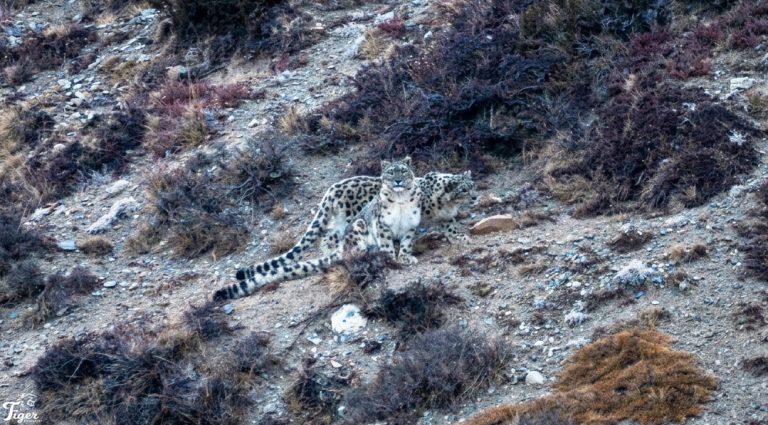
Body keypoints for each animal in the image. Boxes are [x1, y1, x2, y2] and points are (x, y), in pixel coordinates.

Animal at [213, 157, 422, 301]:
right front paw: (390, 258)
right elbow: (387, 243)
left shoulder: (411, 225)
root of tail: (333, 188)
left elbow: (406, 243)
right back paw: (366, 254)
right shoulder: (382, 225)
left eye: (403, 171)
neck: (401, 201)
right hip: (354, 224)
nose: (398, 181)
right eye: (391, 172)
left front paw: (406, 257)